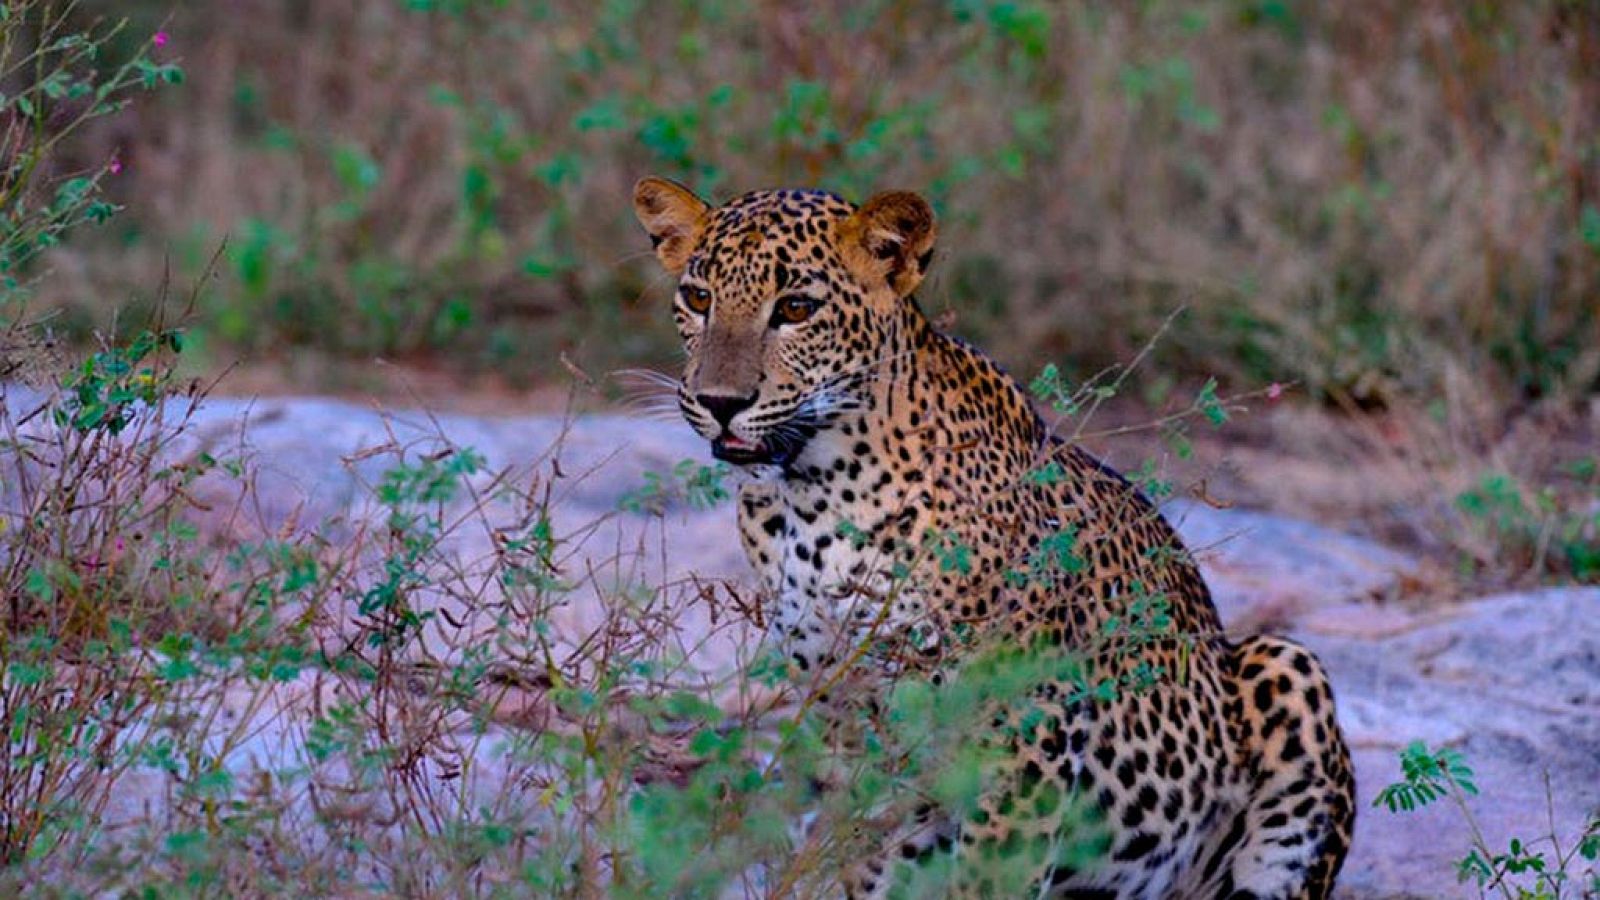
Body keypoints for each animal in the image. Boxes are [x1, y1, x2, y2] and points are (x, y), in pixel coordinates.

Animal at [630, 176, 1356, 896]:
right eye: (698, 298)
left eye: (796, 307)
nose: (720, 402)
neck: (811, 492)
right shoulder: (845, 705)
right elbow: (861, 841)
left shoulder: (1022, 713)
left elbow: (992, 866)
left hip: (1287, 670)